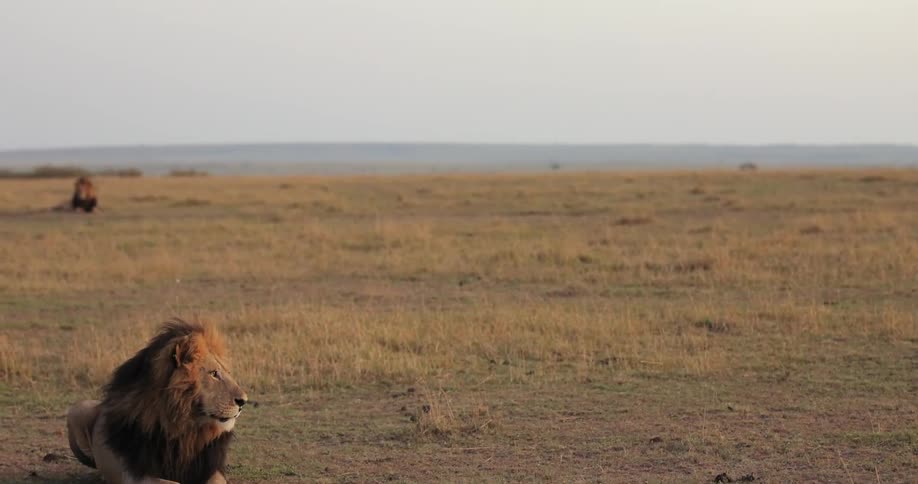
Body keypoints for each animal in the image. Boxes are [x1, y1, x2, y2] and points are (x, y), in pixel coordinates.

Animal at [67, 319, 248, 484]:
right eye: (214, 373)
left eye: (227, 372)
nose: (244, 401)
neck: (182, 429)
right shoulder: (135, 474)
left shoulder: (209, 469)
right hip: (78, 408)